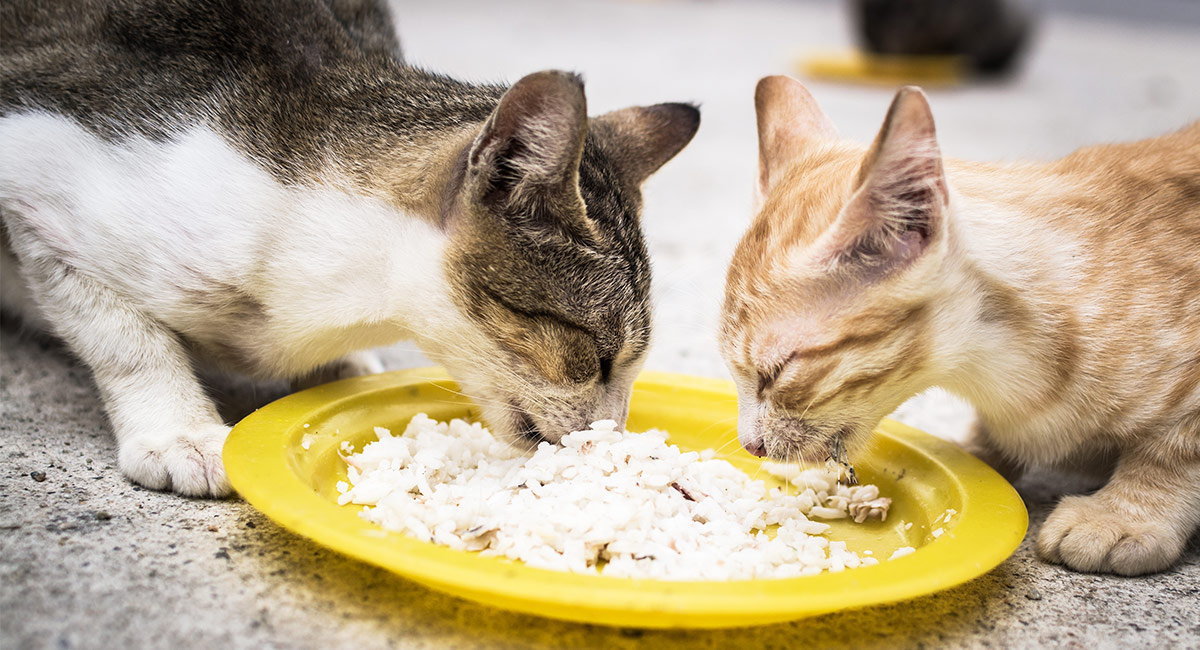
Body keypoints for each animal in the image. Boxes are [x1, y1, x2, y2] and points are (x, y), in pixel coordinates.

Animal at [0, 0, 700, 496]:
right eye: (595, 354)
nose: (614, 441)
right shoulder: (36, 176)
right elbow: (125, 337)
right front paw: (180, 432)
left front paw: (338, 370)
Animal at [720, 75, 1200, 575]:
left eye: (777, 372)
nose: (750, 445)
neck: (997, 370)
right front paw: (978, 454)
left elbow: (1175, 449)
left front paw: (1125, 514)